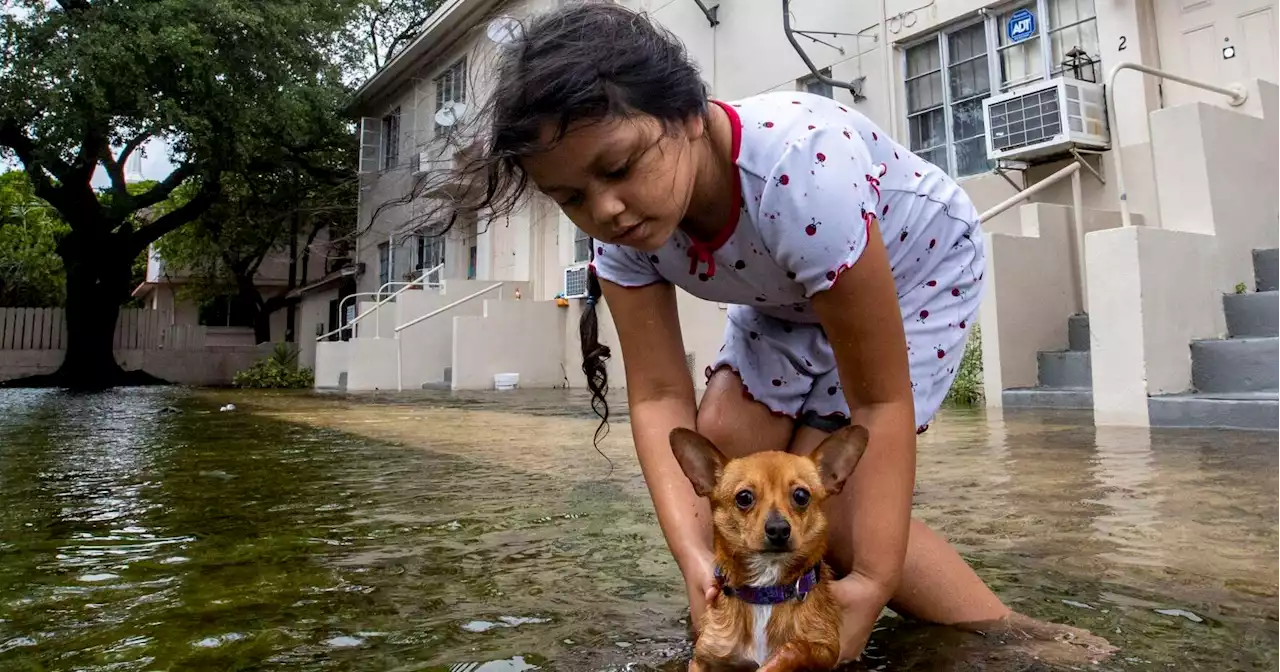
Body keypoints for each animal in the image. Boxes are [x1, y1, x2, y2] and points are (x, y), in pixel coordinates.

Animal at [670, 424, 870, 670]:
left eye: (801, 495)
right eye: (744, 497)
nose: (778, 529)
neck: (766, 592)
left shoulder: (827, 650)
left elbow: (796, 647)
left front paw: (775, 662)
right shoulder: (705, 659)